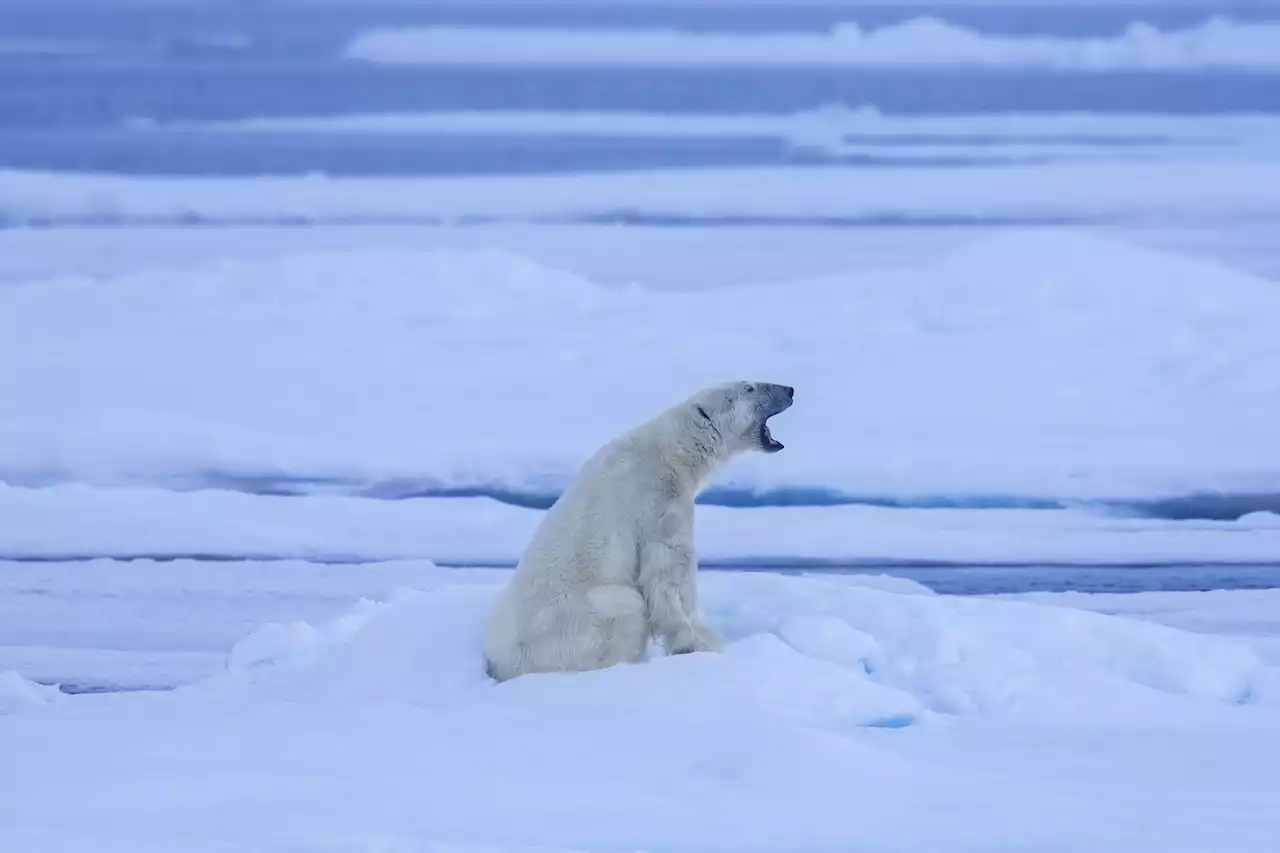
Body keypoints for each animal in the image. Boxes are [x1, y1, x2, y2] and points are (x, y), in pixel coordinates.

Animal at [483, 379, 793, 676]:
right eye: (749, 387)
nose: (789, 390)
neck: (670, 450)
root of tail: (503, 665)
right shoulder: (658, 499)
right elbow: (669, 570)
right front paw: (700, 643)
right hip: (578, 621)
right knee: (627, 608)